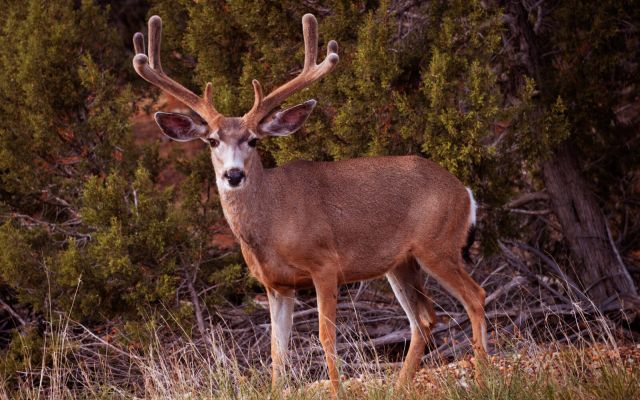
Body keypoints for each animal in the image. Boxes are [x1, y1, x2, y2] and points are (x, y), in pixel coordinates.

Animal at [133, 13, 488, 397]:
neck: (272, 223)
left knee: (475, 297)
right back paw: (399, 386)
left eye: (253, 140)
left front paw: (337, 390)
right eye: (212, 140)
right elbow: (277, 350)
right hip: (400, 263)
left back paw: (483, 375)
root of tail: (465, 192)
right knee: (423, 318)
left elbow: (325, 336)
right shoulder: (276, 285)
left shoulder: (325, 264)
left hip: (437, 245)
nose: (234, 174)